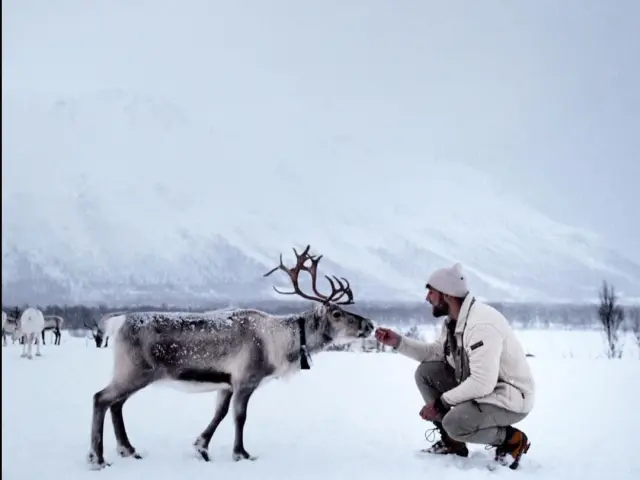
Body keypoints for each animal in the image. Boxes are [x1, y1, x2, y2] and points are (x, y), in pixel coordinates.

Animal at [87, 245, 376, 470]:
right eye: (337, 313)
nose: (370, 324)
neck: (280, 342)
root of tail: (118, 321)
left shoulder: (226, 383)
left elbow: (220, 413)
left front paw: (201, 447)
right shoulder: (246, 379)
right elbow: (240, 416)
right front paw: (241, 454)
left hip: (133, 373)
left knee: (116, 404)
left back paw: (128, 450)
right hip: (134, 371)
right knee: (101, 398)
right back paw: (97, 459)